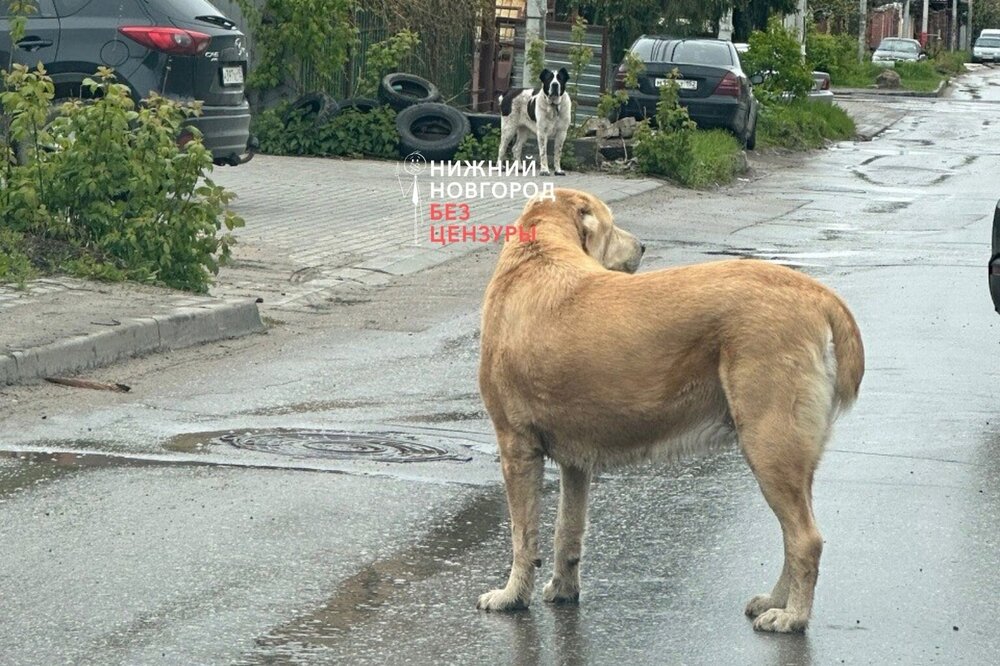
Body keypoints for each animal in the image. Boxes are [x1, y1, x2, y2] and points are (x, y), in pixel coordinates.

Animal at [474, 187, 860, 632]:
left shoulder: (515, 448)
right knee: (792, 535)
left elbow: (523, 536)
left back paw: (792, 616)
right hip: (791, 456)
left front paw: (510, 596)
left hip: (769, 444)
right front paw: (563, 590)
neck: (539, 252)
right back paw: (776, 600)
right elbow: (566, 532)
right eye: (612, 225)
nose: (642, 246)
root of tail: (818, 294)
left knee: (805, 539)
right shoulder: (576, 464)